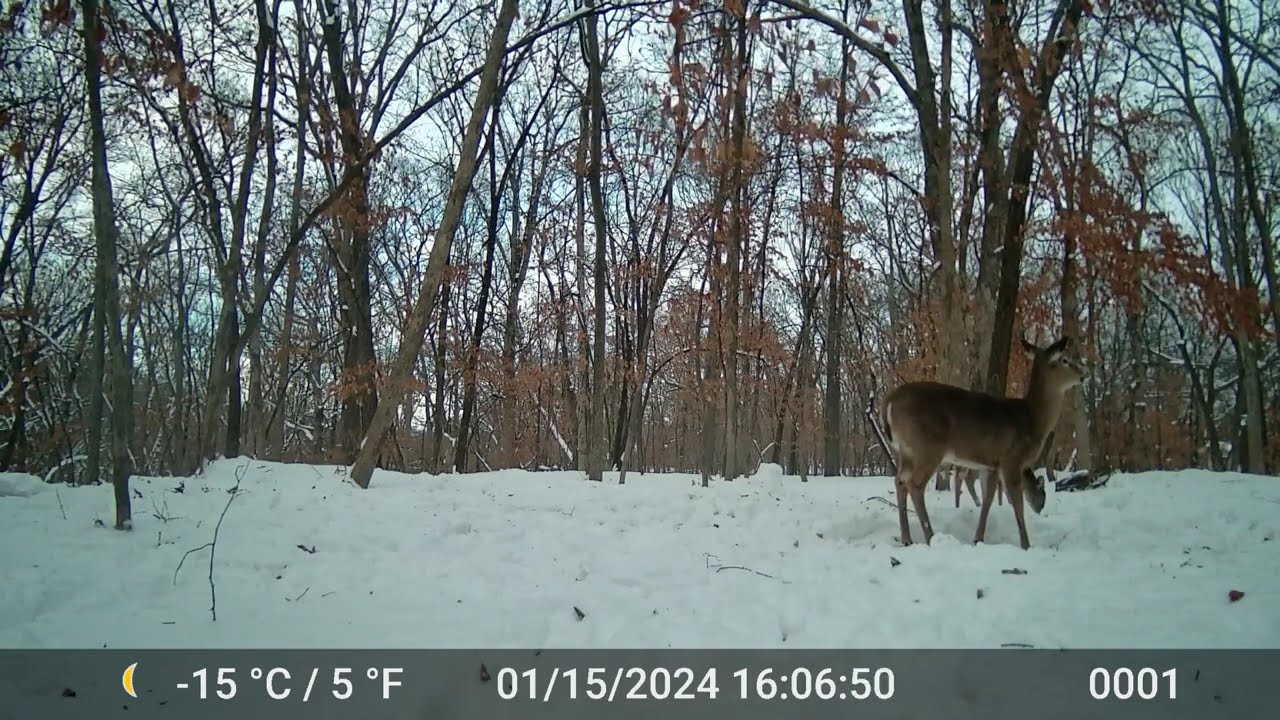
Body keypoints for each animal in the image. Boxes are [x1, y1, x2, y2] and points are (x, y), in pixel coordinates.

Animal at [880, 336, 1084, 550]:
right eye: (1065, 360)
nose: (1083, 375)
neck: (1033, 419)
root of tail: (888, 402)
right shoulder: (1012, 459)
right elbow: (1016, 503)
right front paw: (1026, 545)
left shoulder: (990, 464)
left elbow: (988, 499)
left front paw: (978, 539)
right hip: (928, 447)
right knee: (915, 484)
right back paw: (931, 537)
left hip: (907, 451)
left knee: (900, 481)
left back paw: (907, 538)